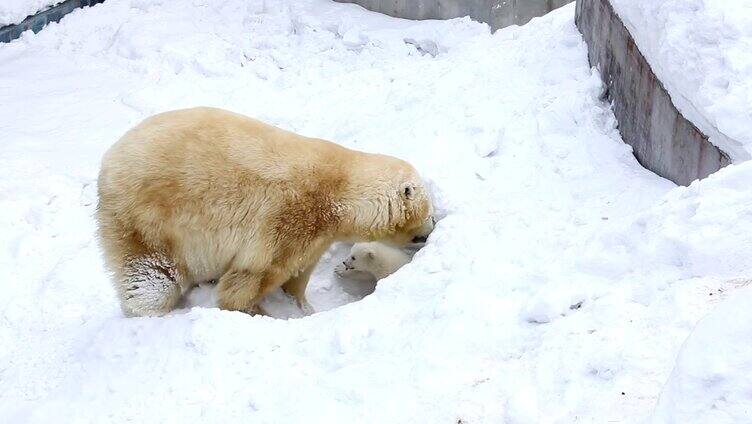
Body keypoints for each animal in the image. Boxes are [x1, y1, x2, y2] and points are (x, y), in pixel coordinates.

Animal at [97, 107, 434, 316]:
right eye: (427, 209)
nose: (431, 228)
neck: (340, 189)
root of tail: (109, 160)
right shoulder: (290, 215)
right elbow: (257, 273)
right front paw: (258, 310)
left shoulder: (319, 232)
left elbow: (300, 271)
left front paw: (302, 305)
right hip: (147, 216)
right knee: (151, 276)